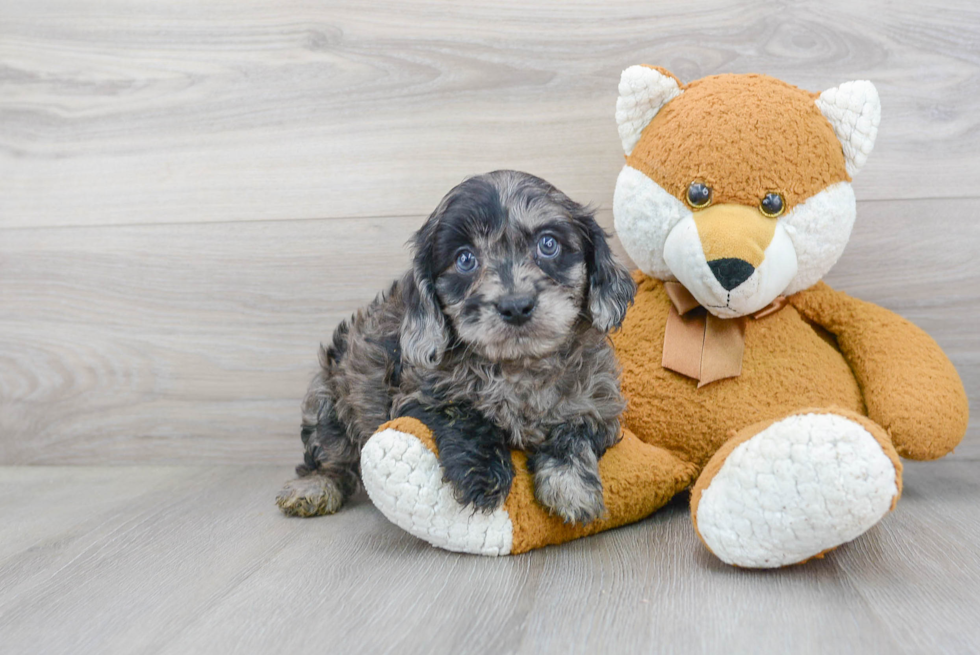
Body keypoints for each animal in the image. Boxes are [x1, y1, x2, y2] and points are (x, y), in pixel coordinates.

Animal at [276, 172, 636, 524]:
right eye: (465, 259)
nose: (516, 306)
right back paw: (313, 487)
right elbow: (464, 415)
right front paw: (484, 478)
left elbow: (575, 431)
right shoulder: (418, 394)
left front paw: (571, 485)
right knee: (329, 455)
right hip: (327, 400)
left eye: (548, 244)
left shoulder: (597, 404)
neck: (518, 365)